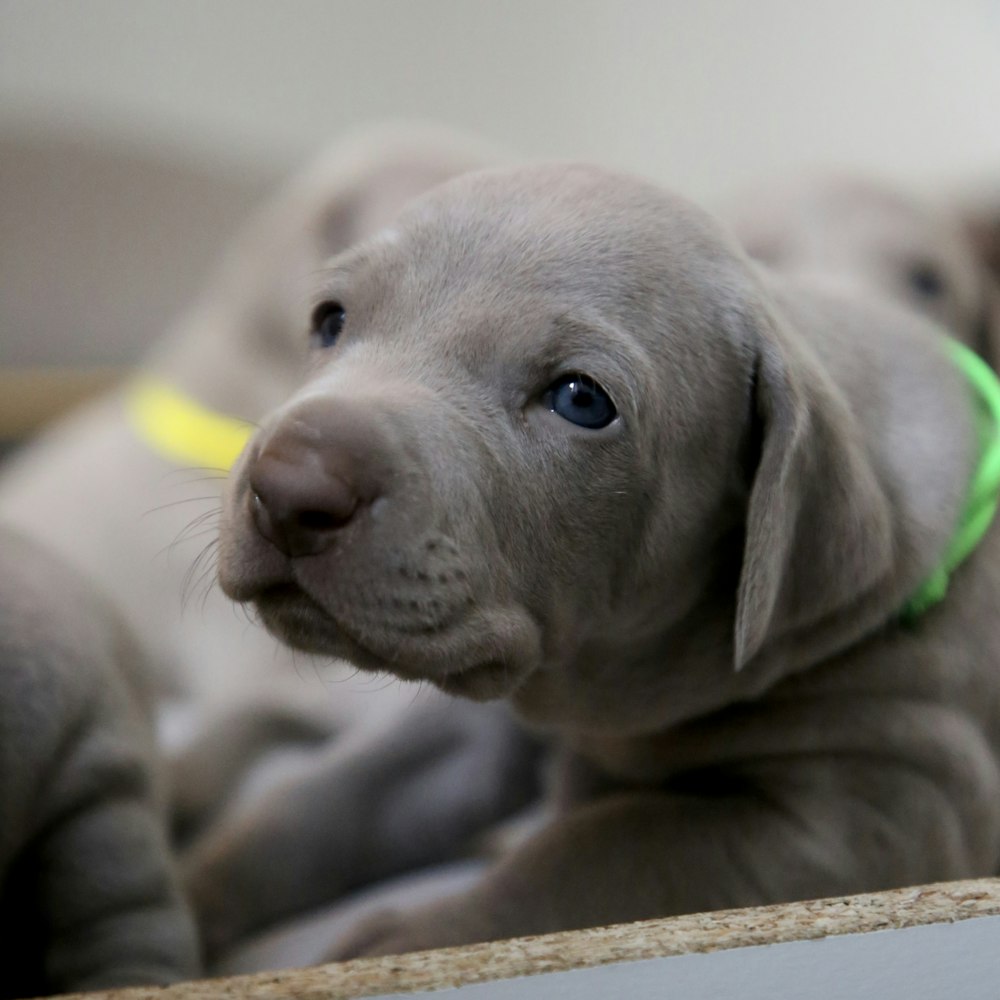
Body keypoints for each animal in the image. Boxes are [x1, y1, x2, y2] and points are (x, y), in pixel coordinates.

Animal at [217, 166, 1000, 960]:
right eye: (330, 320)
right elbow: (313, 803)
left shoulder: (890, 808)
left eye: (580, 400)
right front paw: (193, 905)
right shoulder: (482, 723)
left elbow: (595, 849)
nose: (289, 489)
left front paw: (408, 943)